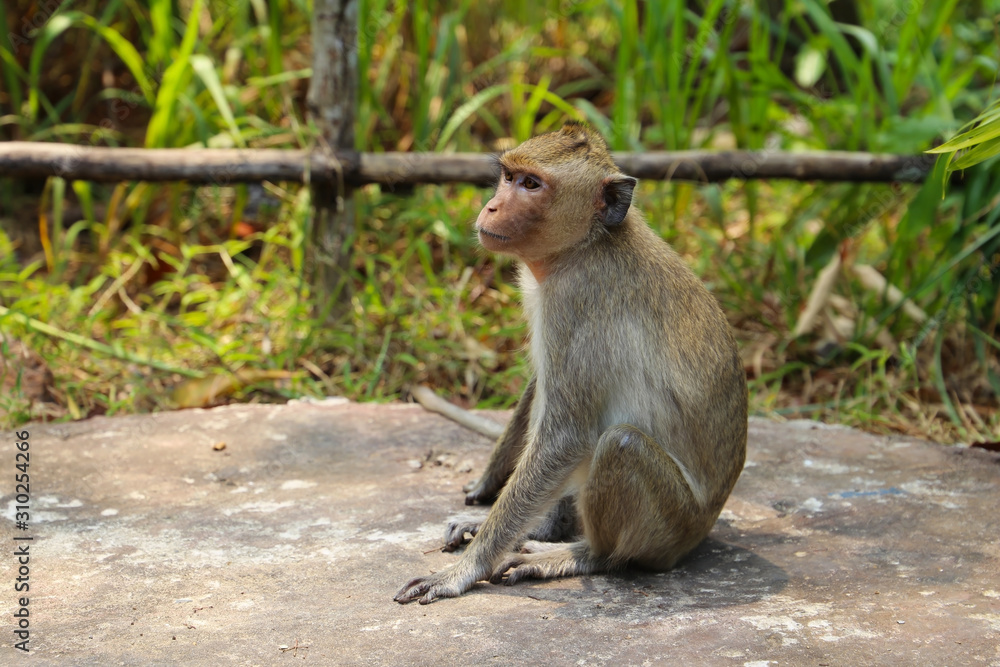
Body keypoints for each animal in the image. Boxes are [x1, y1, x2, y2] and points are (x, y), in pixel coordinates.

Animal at [395, 122, 747, 604]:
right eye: (508, 177)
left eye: (531, 185)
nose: (491, 206)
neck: (587, 243)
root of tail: (704, 525)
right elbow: (540, 388)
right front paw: (488, 488)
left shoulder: (578, 301)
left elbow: (566, 436)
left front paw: (465, 570)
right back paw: (548, 526)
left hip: (675, 527)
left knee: (620, 444)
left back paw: (583, 555)